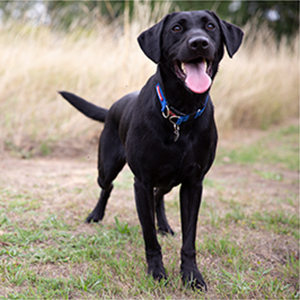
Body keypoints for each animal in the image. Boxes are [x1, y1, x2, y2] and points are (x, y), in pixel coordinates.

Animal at [59, 9, 244, 290]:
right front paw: (157, 272)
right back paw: (96, 215)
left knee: (159, 197)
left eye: (211, 26)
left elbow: (189, 238)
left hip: (169, 179)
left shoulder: (194, 183)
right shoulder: (142, 182)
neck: (179, 114)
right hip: (107, 166)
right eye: (176, 28)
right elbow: (149, 237)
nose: (199, 43)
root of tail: (113, 107)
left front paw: (192, 275)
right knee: (107, 187)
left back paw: (164, 225)